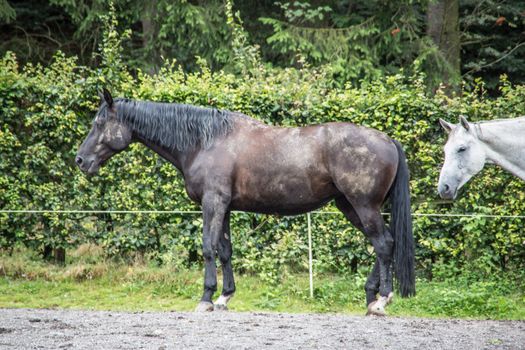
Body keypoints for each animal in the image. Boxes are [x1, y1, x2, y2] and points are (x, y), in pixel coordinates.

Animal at [75, 89, 416, 316]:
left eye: (99, 123)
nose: (80, 160)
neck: (204, 141)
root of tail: (387, 140)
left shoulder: (212, 203)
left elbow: (208, 247)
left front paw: (205, 298)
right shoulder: (224, 207)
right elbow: (225, 250)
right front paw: (224, 297)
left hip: (363, 205)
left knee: (384, 244)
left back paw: (382, 301)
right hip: (350, 206)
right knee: (383, 243)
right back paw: (371, 298)